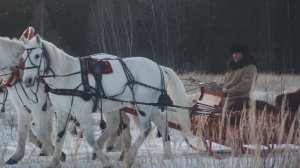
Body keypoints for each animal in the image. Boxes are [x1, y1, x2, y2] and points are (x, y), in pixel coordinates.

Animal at [0, 36, 131, 164]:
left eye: (36, 56)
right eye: (23, 58)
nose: (27, 81)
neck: (17, 73)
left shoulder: (39, 107)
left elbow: (40, 131)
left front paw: (57, 153)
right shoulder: (23, 108)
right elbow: (23, 131)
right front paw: (17, 156)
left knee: (118, 122)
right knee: (121, 122)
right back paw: (117, 149)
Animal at [21, 34, 191, 167]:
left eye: (36, 56)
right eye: (23, 58)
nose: (27, 80)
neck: (67, 76)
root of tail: (159, 66)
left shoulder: (83, 112)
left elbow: (90, 139)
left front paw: (105, 160)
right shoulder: (63, 111)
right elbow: (59, 137)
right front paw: (54, 161)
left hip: (143, 105)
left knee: (146, 128)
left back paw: (130, 157)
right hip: (151, 105)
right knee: (162, 124)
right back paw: (167, 155)